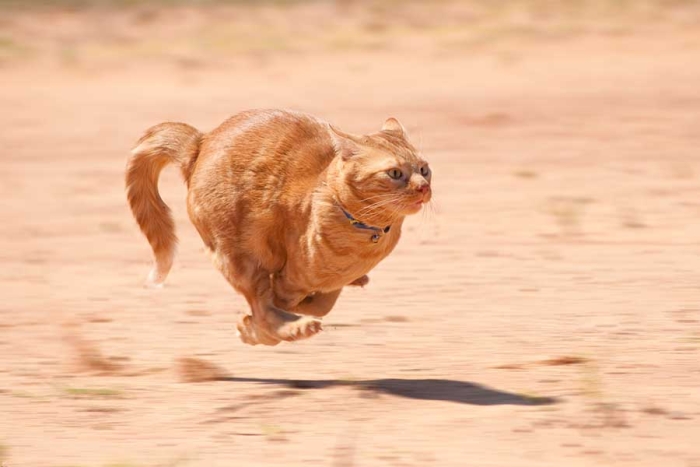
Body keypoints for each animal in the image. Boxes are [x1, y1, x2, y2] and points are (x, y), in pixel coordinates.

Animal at [126, 108, 432, 346]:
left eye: (424, 169)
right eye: (395, 173)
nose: (424, 187)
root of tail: (200, 142)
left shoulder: (327, 282)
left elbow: (323, 302)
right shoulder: (288, 275)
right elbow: (278, 303)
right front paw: (254, 329)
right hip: (239, 254)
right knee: (263, 308)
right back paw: (293, 328)